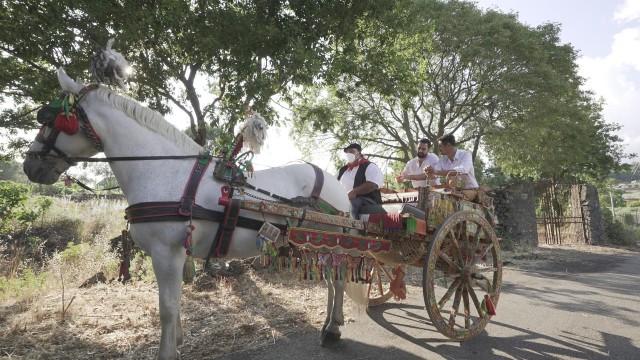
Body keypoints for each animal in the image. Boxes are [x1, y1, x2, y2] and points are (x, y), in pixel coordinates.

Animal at [22, 69, 350, 358]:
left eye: (48, 118)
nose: (29, 164)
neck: (164, 170)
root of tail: (334, 180)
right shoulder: (174, 254)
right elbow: (175, 303)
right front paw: (178, 340)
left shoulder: (166, 253)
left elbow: (167, 307)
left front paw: (167, 351)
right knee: (330, 281)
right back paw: (328, 322)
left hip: (334, 243)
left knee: (339, 279)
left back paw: (333, 328)